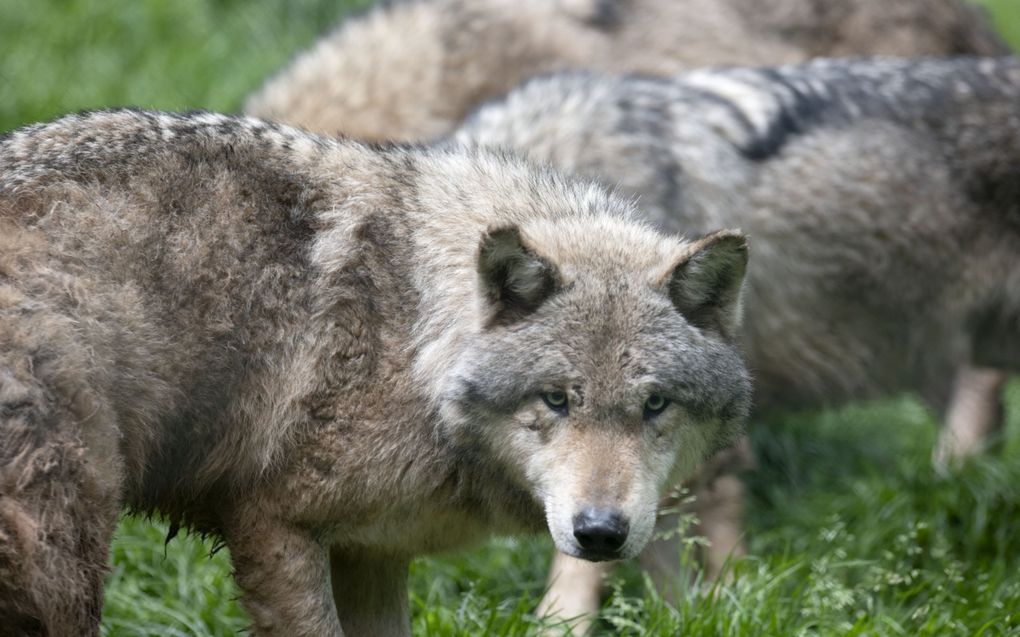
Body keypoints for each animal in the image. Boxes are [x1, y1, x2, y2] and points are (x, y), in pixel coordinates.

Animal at [0, 109, 750, 635]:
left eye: (655, 405)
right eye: (557, 399)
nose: (600, 532)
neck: (414, 333)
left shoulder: (372, 552)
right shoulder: (276, 527)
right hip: (66, 561)